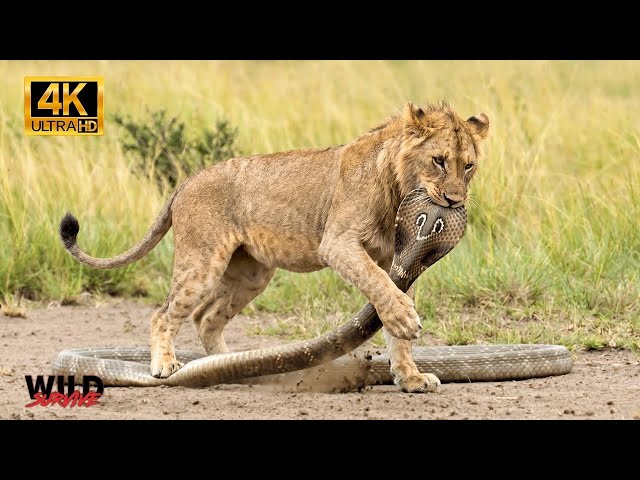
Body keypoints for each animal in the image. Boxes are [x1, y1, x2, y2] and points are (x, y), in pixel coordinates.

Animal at [59, 101, 489, 393]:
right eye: (438, 161)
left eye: (468, 165)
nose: (454, 200)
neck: (400, 186)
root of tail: (187, 180)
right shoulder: (337, 243)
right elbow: (379, 286)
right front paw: (404, 319)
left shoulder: (394, 256)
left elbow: (390, 312)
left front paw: (410, 377)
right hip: (203, 263)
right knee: (164, 314)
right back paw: (167, 366)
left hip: (252, 274)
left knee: (206, 317)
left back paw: (229, 365)